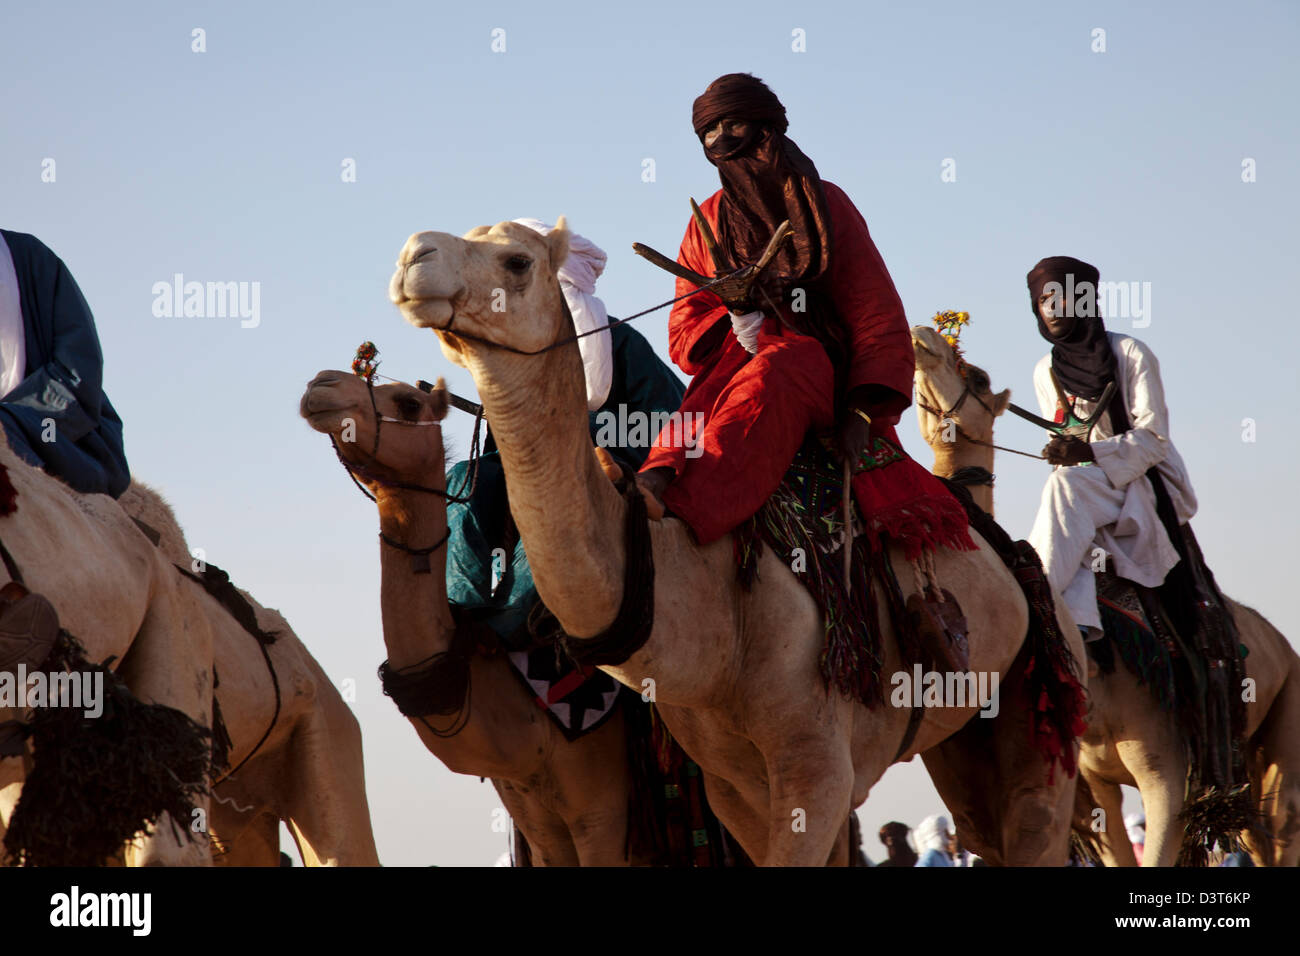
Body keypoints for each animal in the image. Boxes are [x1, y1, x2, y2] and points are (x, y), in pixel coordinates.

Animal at [382, 222, 1086, 868]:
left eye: (517, 260)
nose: (413, 254)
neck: (712, 605)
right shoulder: (735, 788)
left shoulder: (817, 766)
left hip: (1043, 706)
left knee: (1033, 823)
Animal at [909, 327, 1300, 868]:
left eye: (980, 377)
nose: (922, 334)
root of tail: (1280, 642)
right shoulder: (1095, 786)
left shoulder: (1167, 771)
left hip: (1283, 709)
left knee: (1282, 826)